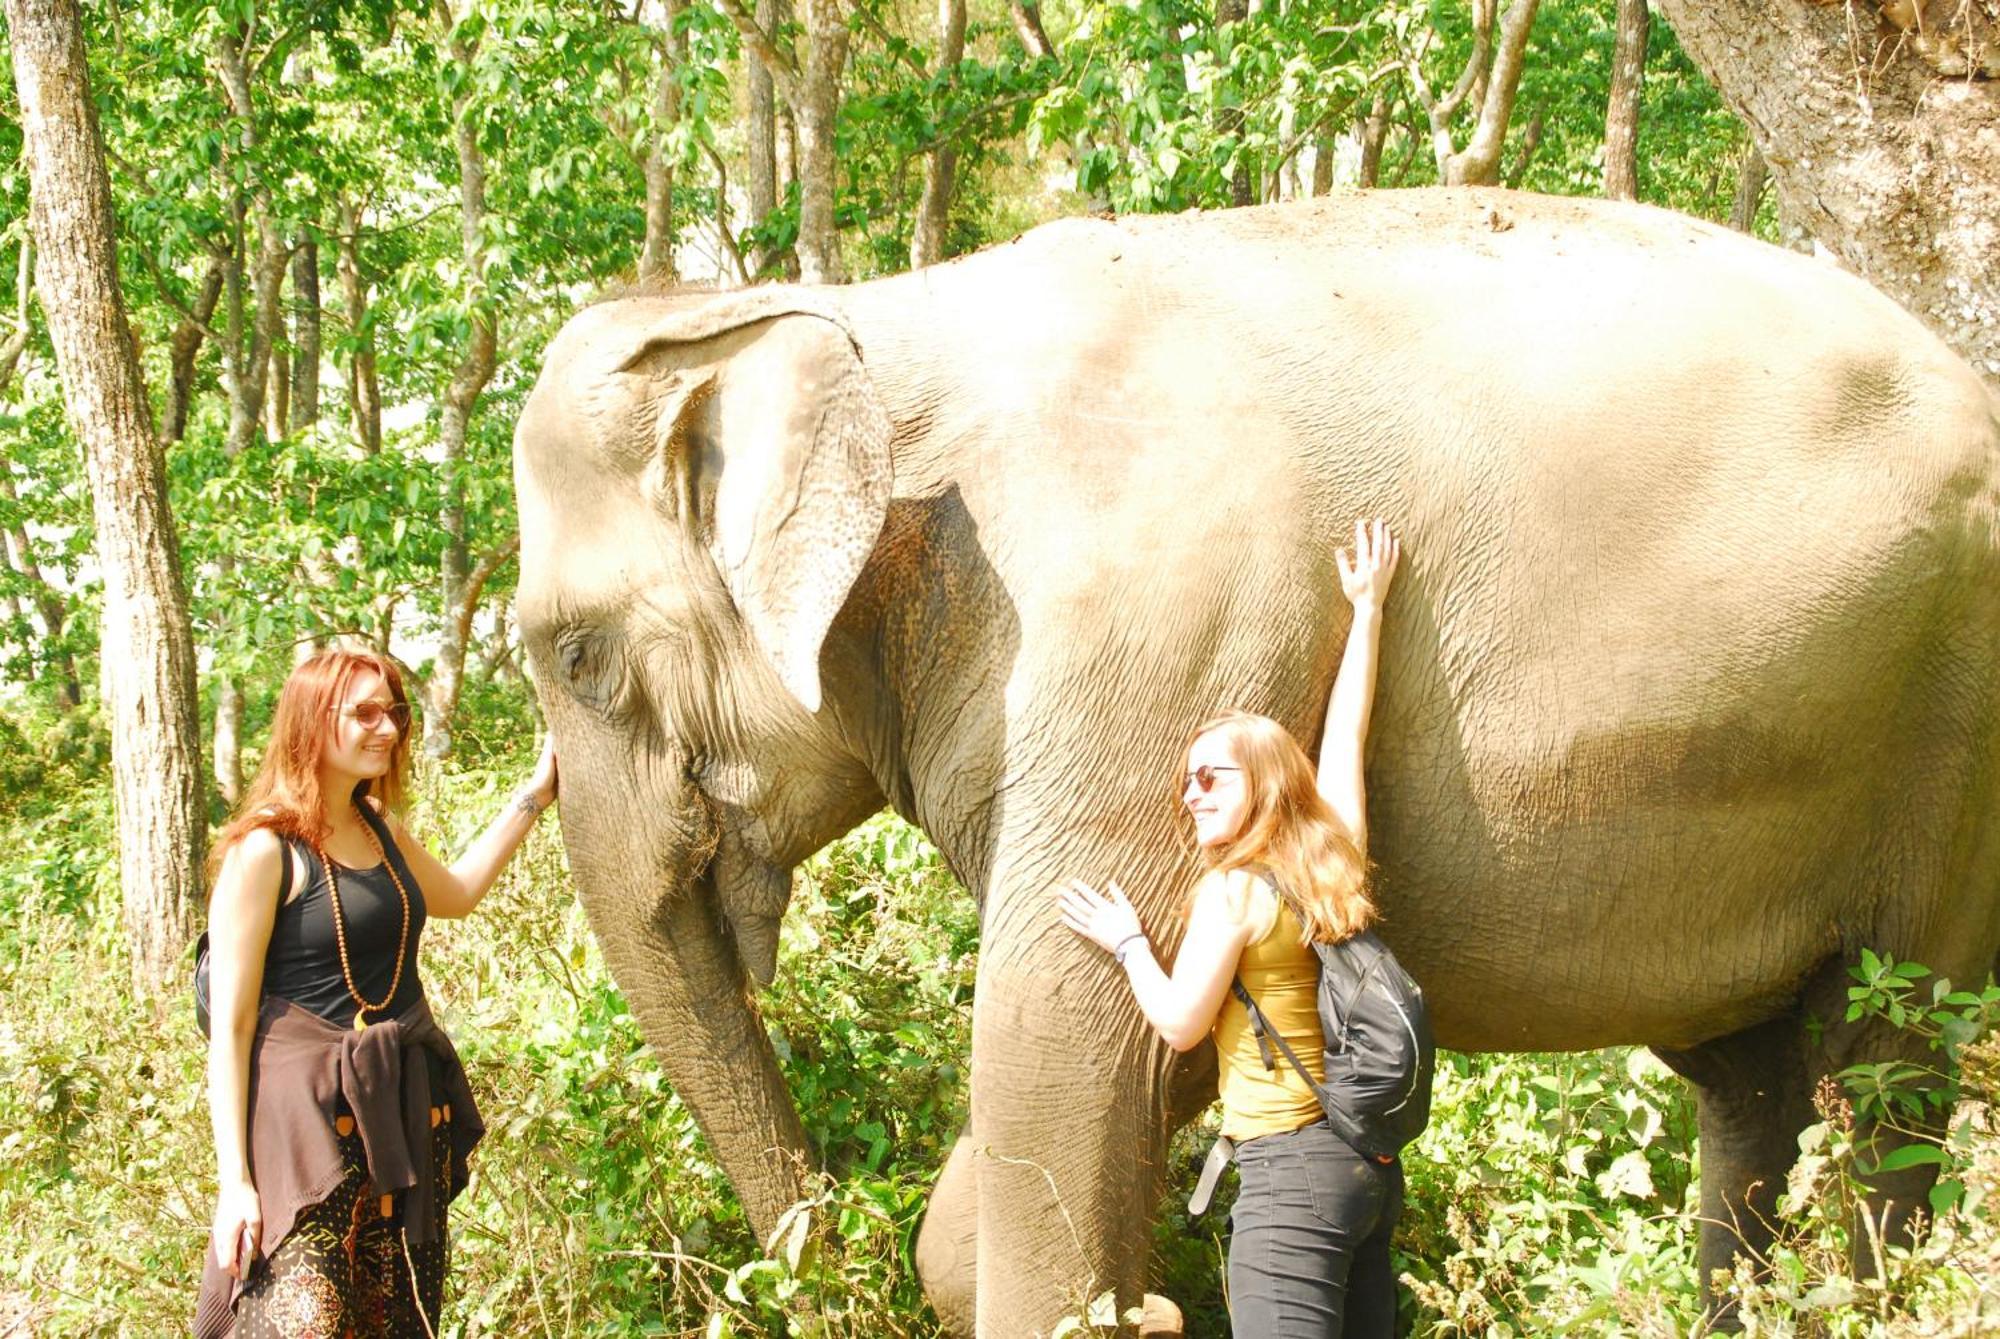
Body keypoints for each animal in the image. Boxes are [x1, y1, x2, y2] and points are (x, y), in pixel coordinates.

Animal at [516, 191, 2000, 1339]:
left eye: (576, 656)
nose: (823, 1274)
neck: (864, 315)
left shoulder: (1162, 642)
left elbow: (1063, 1026)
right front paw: (1135, 1296)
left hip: (1948, 742)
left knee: (1877, 1077)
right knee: (1750, 1091)